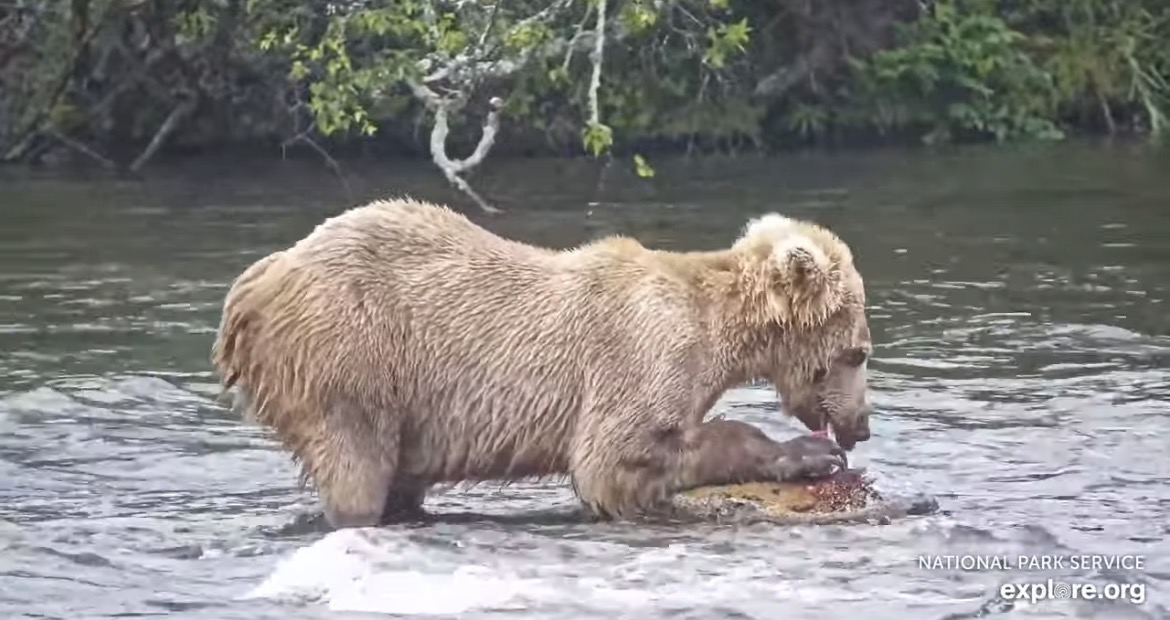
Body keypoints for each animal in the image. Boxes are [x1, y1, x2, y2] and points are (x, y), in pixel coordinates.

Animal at [210, 197, 873, 529]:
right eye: (859, 352)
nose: (861, 427)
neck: (717, 328)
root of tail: (251, 289)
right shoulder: (643, 350)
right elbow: (615, 454)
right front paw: (807, 454)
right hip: (352, 355)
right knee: (357, 465)